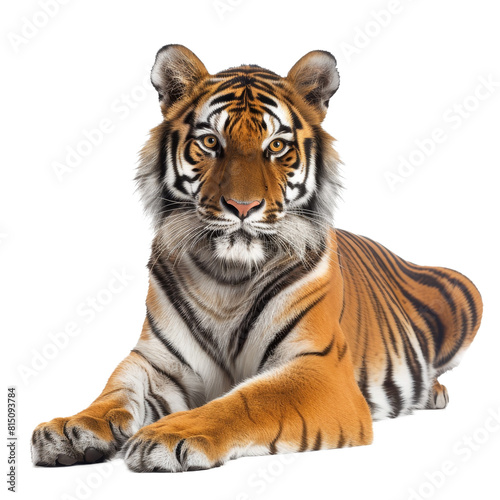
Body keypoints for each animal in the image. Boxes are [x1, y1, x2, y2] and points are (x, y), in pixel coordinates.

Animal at [29, 45, 482, 470]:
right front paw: (70, 428)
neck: (227, 276)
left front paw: (168, 434)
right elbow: (115, 391)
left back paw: (433, 392)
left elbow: (247, 400)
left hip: (469, 291)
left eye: (277, 146)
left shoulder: (318, 367)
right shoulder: (156, 361)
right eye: (211, 142)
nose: (242, 207)